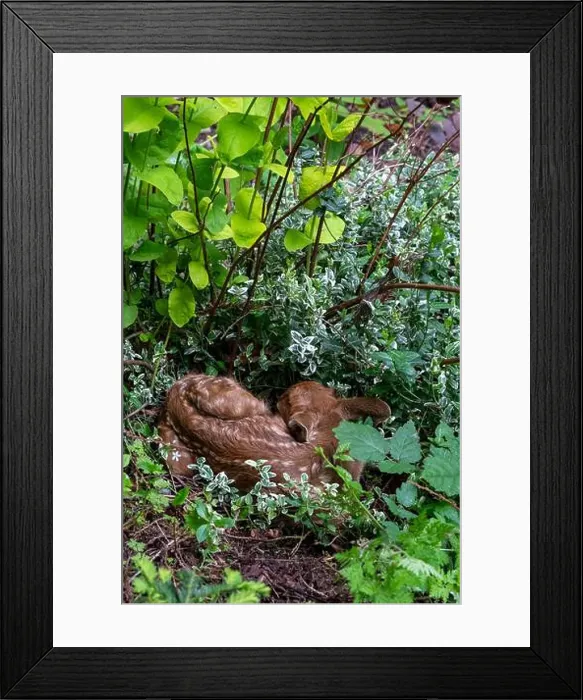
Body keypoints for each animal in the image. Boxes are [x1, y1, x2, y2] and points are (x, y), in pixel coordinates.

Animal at [157, 374, 390, 490]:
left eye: (330, 391)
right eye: (287, 401)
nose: (282, 392)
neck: (325, 442)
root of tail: (175, 396)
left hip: (175, 454)